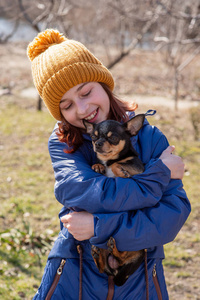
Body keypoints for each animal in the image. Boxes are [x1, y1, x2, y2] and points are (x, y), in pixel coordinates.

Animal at [83, 113, 147, 286]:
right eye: (93, 137)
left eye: (113, 138)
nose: (98, 143)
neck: (109, 160)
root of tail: (117, 271)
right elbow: (102, 165)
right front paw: (97, 166)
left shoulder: (138, 167)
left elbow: (118, 164)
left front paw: (121, 171)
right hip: (104, 250)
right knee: (102, 267)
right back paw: (98, 255)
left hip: (137, 248)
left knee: (122, 255)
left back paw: (114, 248)